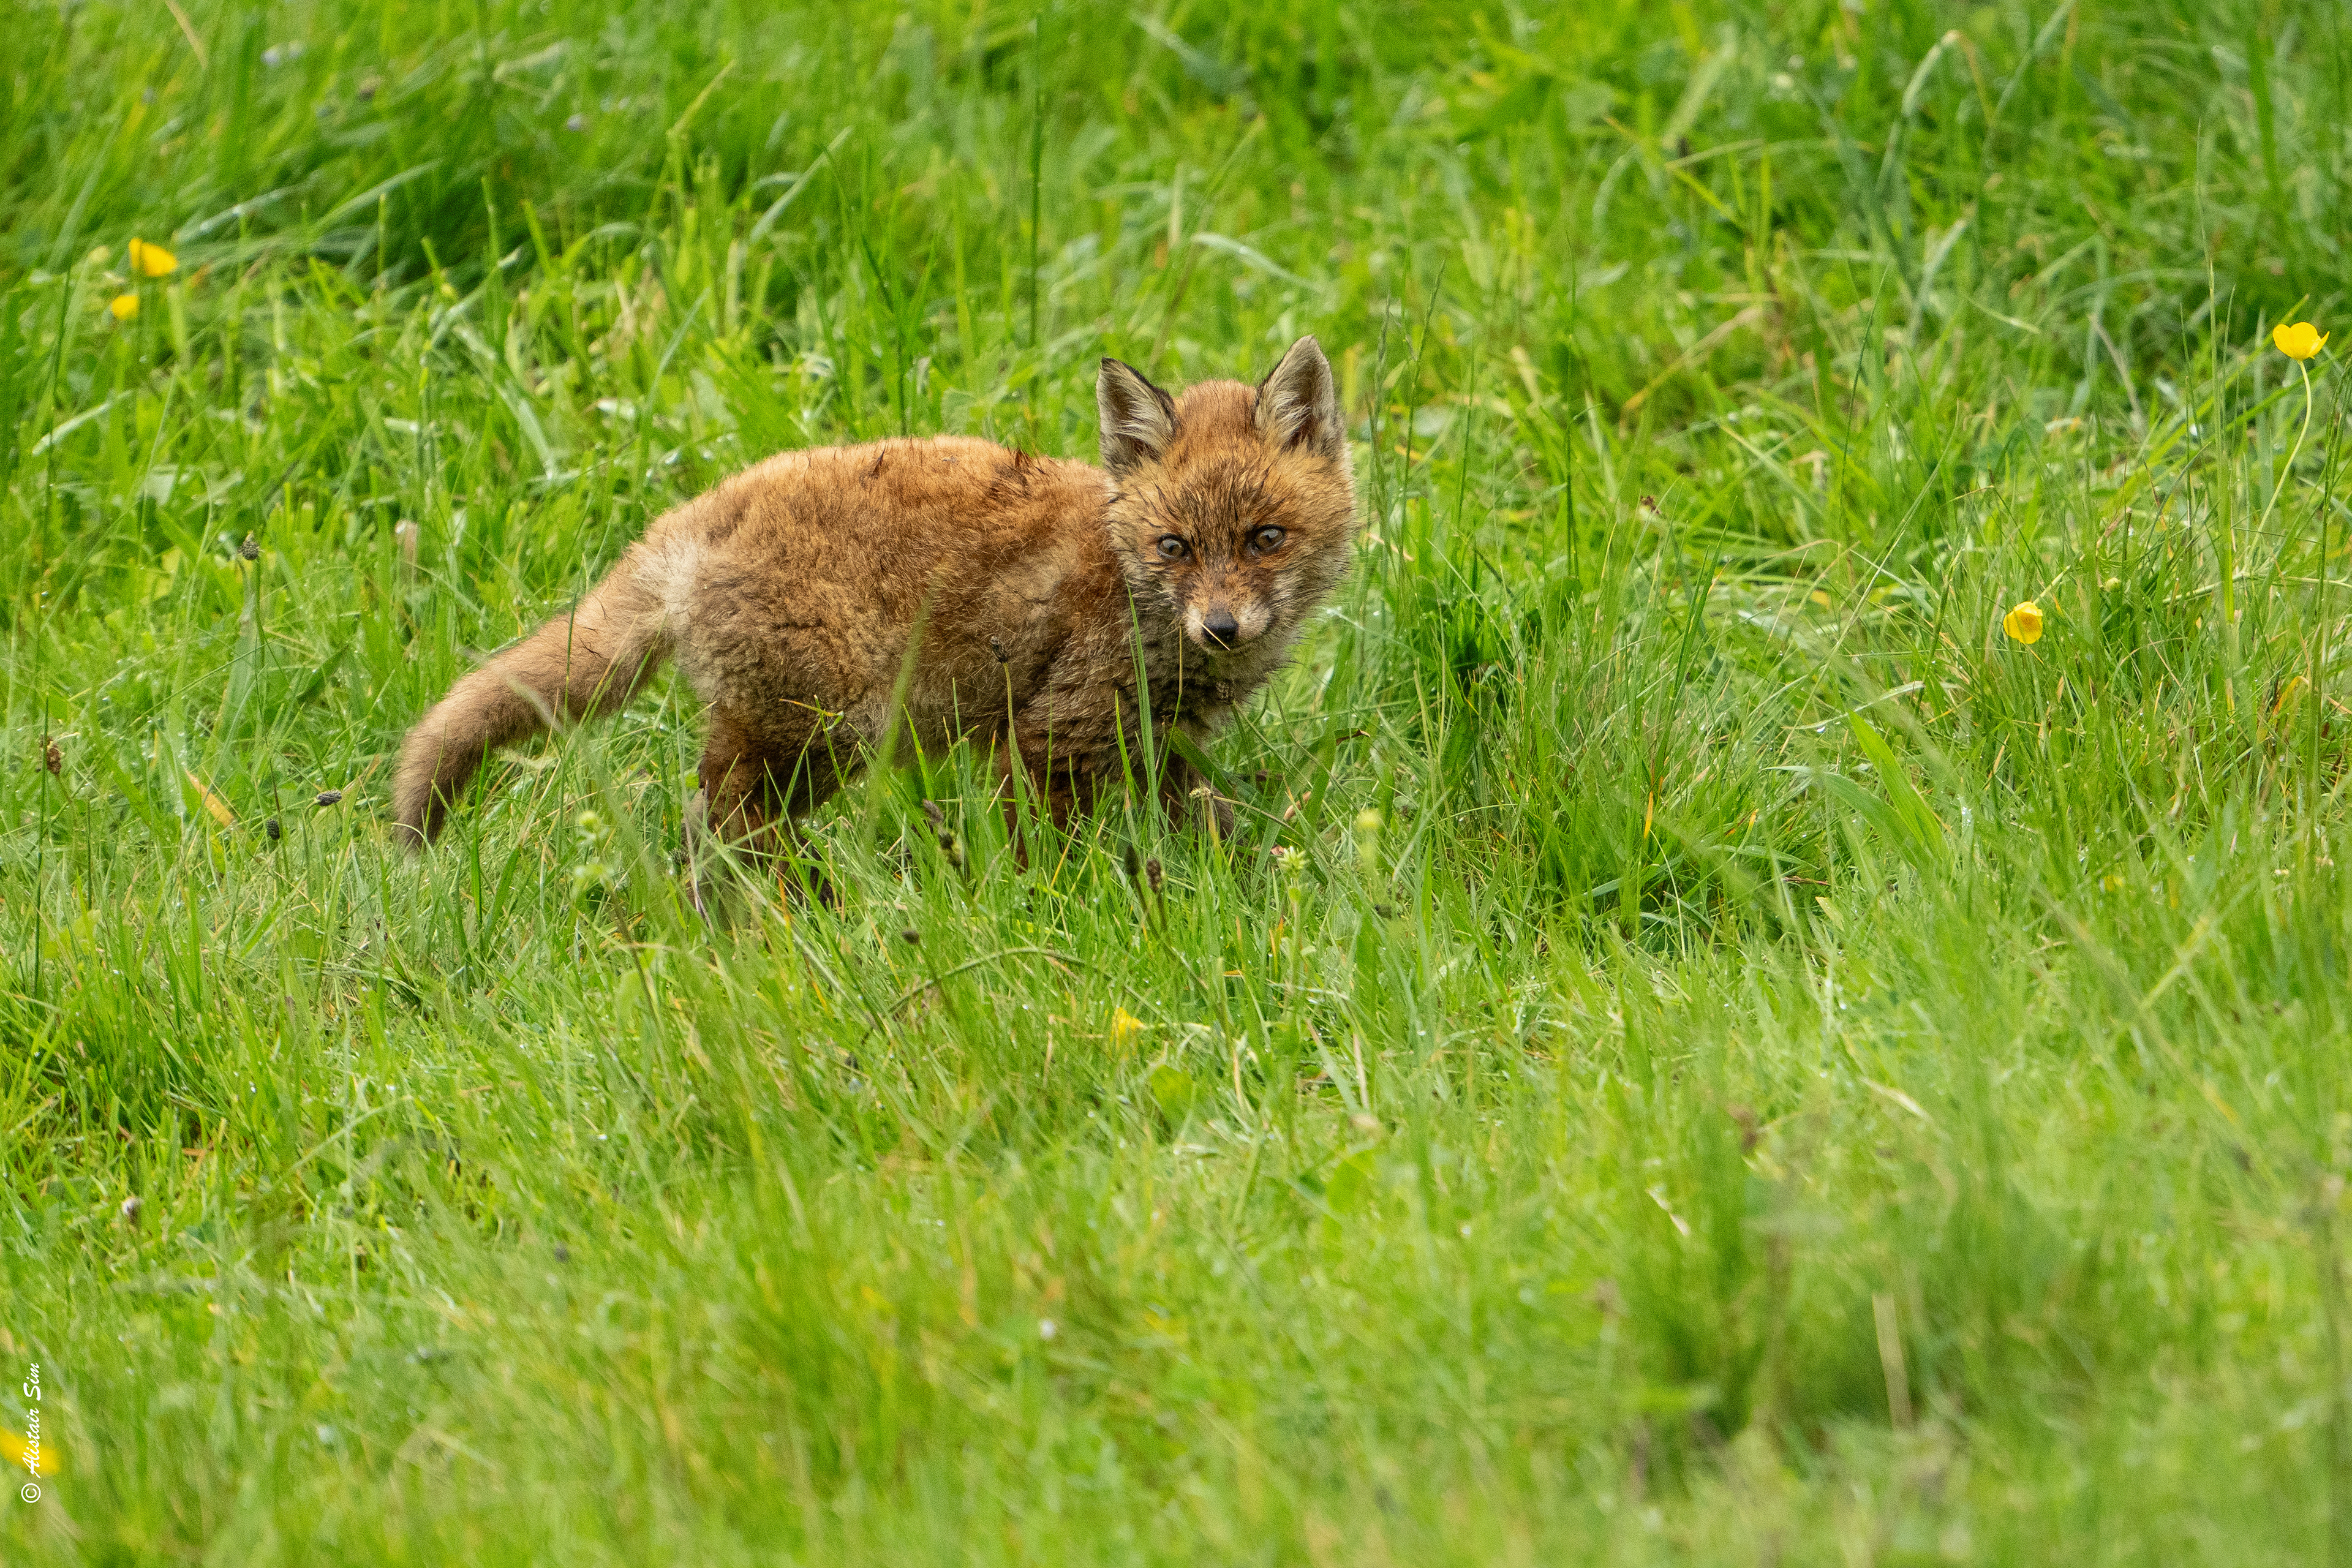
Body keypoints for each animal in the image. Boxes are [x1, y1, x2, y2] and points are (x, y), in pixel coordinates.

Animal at [391, 336, 1358, 883]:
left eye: (1265, 538)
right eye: (1175, 548)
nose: (1222, 628)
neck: (1124, 579)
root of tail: (697, 514)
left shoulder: (1157, 742)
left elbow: (1215, 823)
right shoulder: (1045, 736)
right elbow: (1044, 857)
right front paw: (1058, 912)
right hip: (818, 734)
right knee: (722, 822)